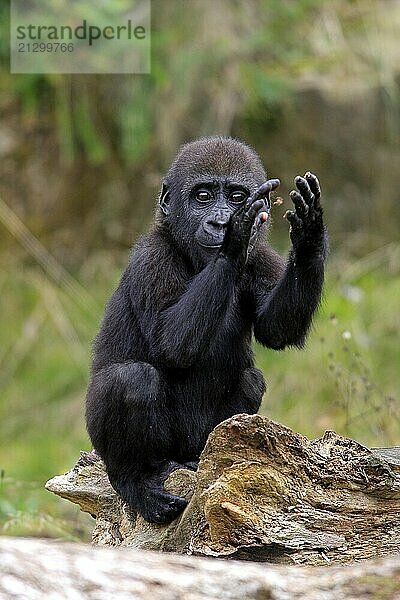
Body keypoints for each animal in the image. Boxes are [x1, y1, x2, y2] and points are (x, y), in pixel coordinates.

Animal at [85, 136, 328, 524]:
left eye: (236, 196)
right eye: (203, 196)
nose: (220, 220)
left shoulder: (261, 256)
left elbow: (277, 330)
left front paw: (309, 235)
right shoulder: (151, 256)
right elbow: (170, 343)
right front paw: (234, 236)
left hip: (197, 445)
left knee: (250, 380)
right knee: (131, 379)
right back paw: (134, 481)